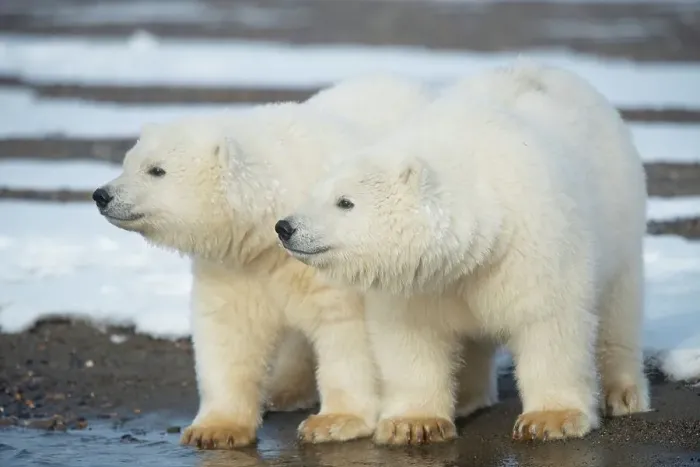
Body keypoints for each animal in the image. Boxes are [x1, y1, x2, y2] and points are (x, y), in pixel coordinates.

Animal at [93, 74, 435, 449]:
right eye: (127, 163)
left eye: (156, 170)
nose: (101, 195)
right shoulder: (236, 264)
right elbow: (228, 329)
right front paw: (214, 429)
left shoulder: (331, 253)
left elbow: (346, 330)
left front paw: (333, 422)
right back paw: (282, 391)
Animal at [277, 61, 651, 445]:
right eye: (314, 193)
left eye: (345, 202)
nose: (285, 228)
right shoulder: (421, 282)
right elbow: (410, 337)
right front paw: (413, 423)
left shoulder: (533, 247)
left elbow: (548, 319)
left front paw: (550, 419)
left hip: (620, 221)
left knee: (619, 310)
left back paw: (623, 392)